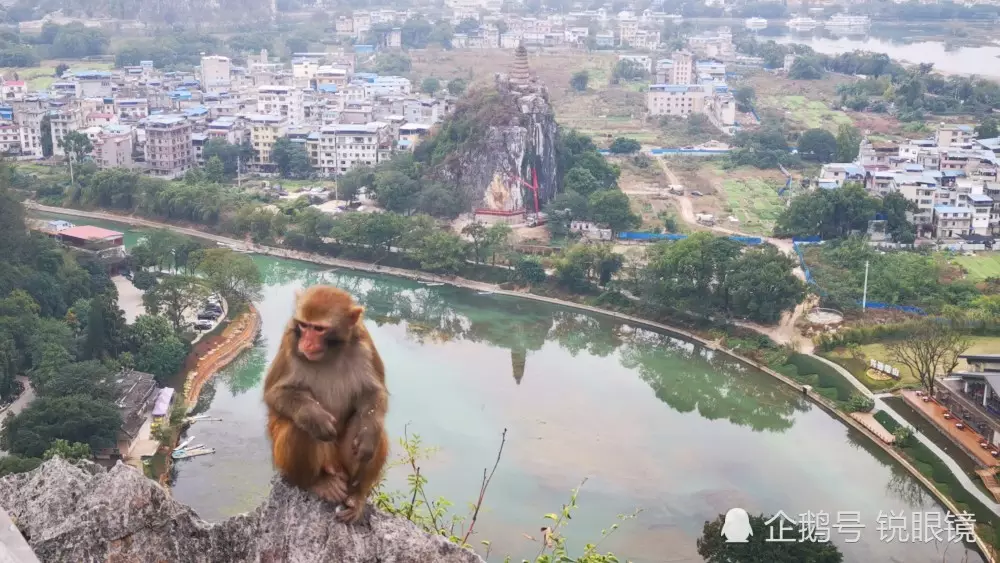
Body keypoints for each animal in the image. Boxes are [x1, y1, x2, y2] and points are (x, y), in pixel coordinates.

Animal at [264, 286, 388, 524]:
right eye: (304, 325)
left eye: (319, 329)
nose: (306, 343)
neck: (331, 353)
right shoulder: (289, 341)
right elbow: (274, 394)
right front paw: (313, 415)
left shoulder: (365, 345)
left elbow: (373, 393)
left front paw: (368, 433)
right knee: (300, 427)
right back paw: (317, 482)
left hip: (343, 466)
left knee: (372, 429)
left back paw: (357, 495)